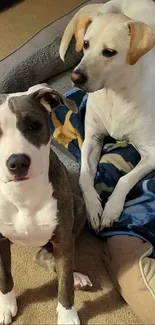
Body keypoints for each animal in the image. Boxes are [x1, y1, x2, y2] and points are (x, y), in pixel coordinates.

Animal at [0, 83, 91, 324]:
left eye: (34, 125)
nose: (17, 162)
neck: (23, 193)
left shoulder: (62, 238)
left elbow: (64, 284)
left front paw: (67, 315)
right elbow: (4, 275)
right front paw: (5, 305)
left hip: (78, 207)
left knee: (45, 257)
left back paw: (76, 276)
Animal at [59, 0, 155, 230]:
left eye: (109, 52)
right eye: (85, 44)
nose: (75, 77)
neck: (114, 94)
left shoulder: (152, 153)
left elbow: (125, 179)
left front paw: (111, 209)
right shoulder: (91, 140)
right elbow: (84, 176)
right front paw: (93, 208)